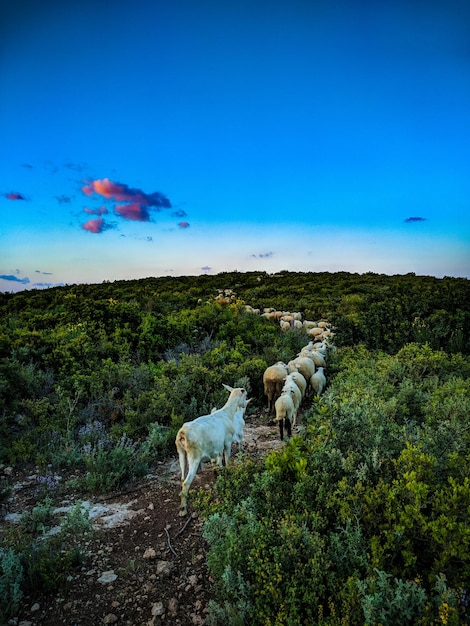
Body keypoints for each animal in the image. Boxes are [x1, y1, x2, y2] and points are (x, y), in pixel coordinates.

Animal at [175, 382, 248, 516]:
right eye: (245, 395)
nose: (244, 405)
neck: (227, 413)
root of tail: (182, 434)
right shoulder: (227, 442)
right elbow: (227, 459)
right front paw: (228, 471)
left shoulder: (217, 447)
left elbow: (218, 461)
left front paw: (217, 472)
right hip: (194, 457)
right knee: (186, 482)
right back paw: (183, 510)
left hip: (180, 453)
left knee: (182, 477)